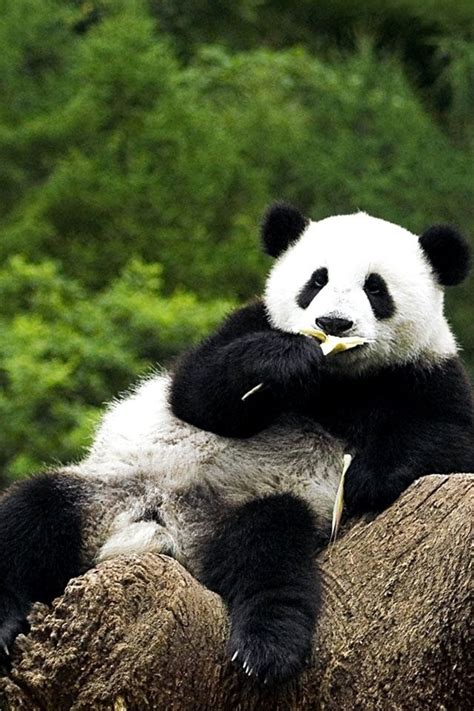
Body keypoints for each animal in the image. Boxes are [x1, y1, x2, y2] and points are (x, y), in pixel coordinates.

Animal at [0, 203, 473, 684]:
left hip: (250, 508)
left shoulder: (426, 373)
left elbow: (451, 439)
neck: (338, 380)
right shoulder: (247, 324)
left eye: (375, 287)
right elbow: (197, 392)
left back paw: (266, 647)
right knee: (30, 515)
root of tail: (166, 529)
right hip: (108, 490)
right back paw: (5, 620)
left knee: (268, 552)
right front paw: (285, 361)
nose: (333, 324)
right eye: (316, 280)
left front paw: (364, 476)